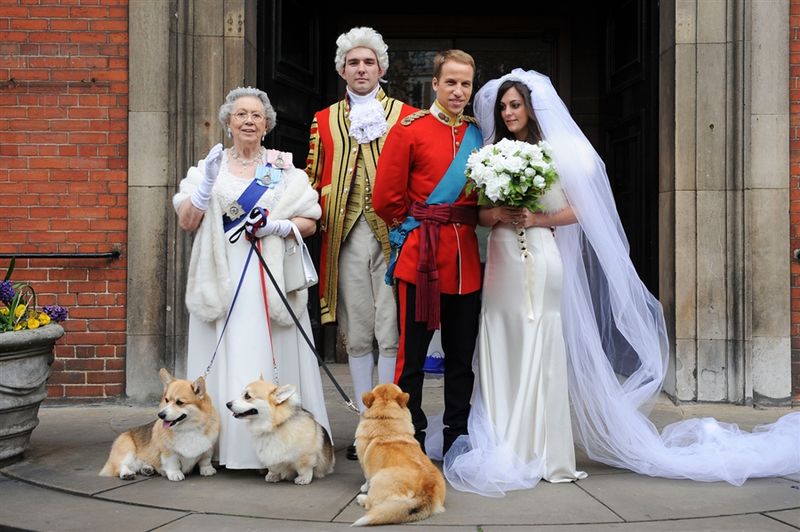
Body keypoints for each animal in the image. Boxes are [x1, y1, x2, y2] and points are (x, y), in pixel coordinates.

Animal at [354, 384, 446, 524]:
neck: (385, 418)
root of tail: (426, 491)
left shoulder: (364, 461)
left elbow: (366, 477)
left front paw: (364, 487)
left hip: (379, 479)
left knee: (372, 503)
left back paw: (361, 498)